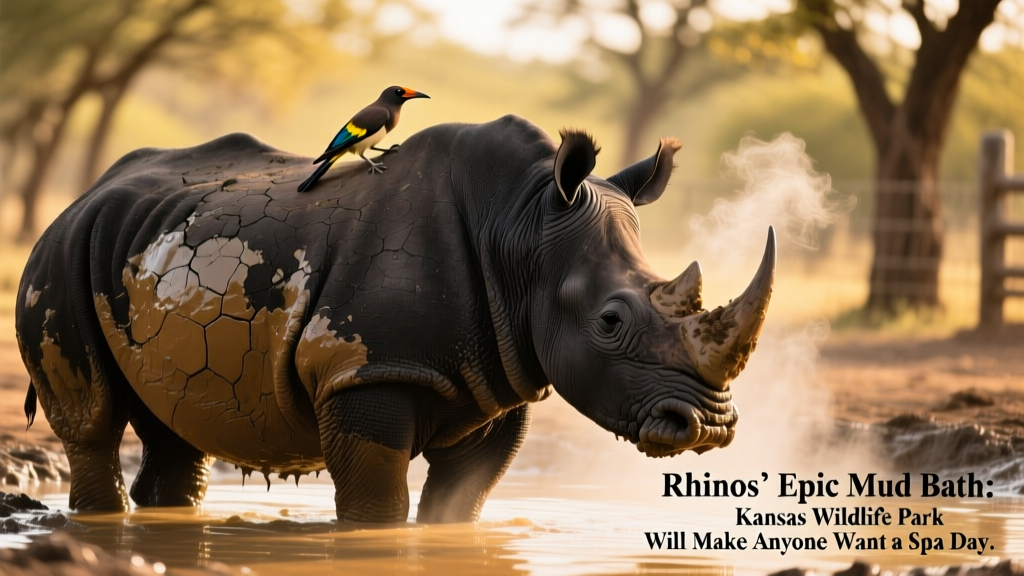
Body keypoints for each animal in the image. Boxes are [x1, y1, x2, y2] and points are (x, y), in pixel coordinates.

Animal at [16, 115, 774, 523]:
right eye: (611, 320)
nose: (708, 426)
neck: (523, 227)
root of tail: (85, 195)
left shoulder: (497, 372)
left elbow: (461, 504)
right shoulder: (367, 367)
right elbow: (378, 504)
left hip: (140, 242)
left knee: (172, 423)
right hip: (59, 252)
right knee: (93, 419)